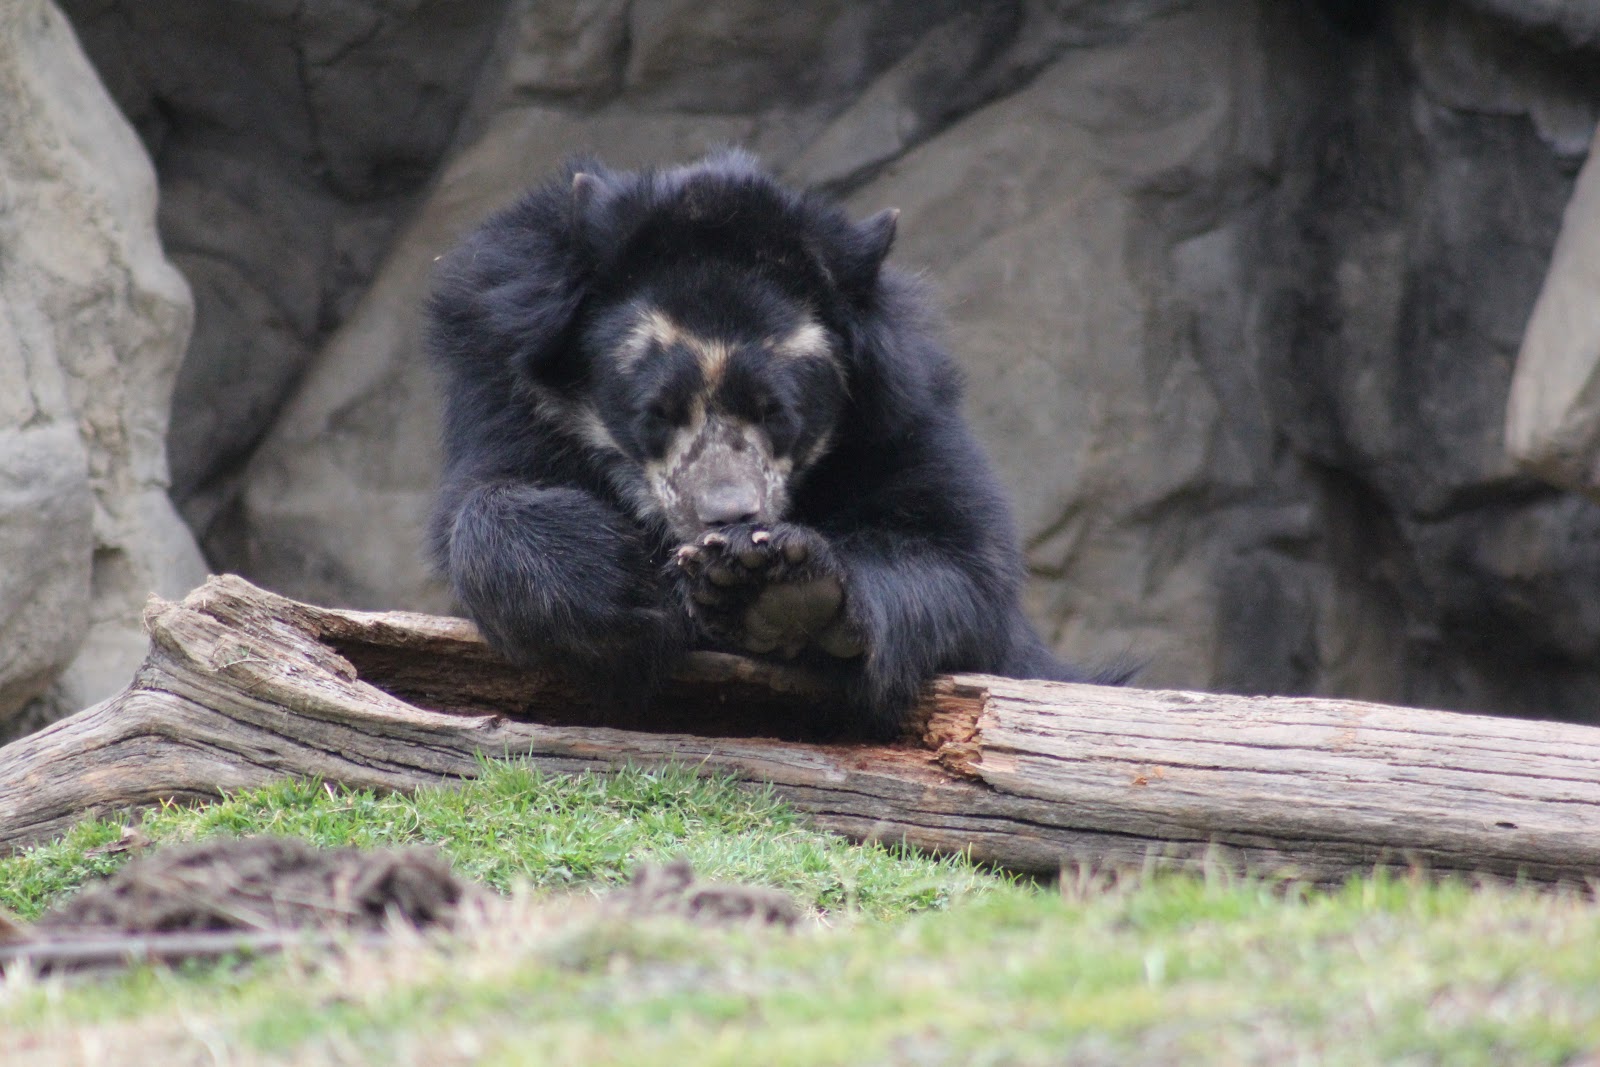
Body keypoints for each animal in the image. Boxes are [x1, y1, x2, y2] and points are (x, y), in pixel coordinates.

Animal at [426, 150, 1107, 739]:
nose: (728, 518)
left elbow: (958, 560)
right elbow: (485, 502)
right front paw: (620, 578)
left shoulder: (904, 419)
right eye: (656, 412)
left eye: (776, 411)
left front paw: (771, 585)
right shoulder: (502, 389)